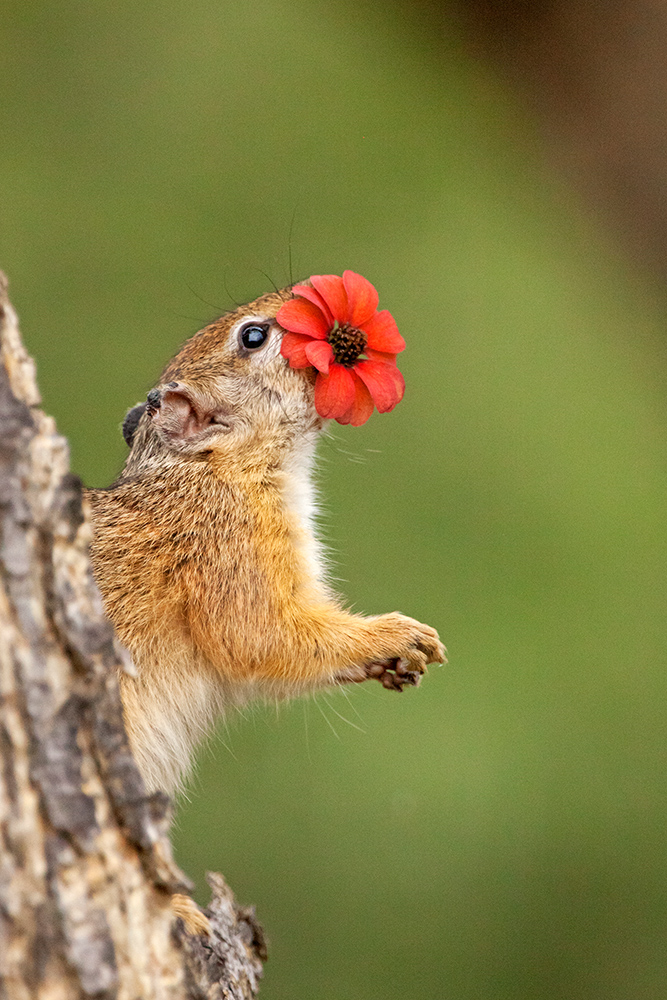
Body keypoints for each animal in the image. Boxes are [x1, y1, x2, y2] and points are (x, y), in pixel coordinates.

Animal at [86, 284, 446, 796]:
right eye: (253, 336)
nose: (295, 294)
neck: (211, 469)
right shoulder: (225, 552)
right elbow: (263, 639)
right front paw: (394, 635)